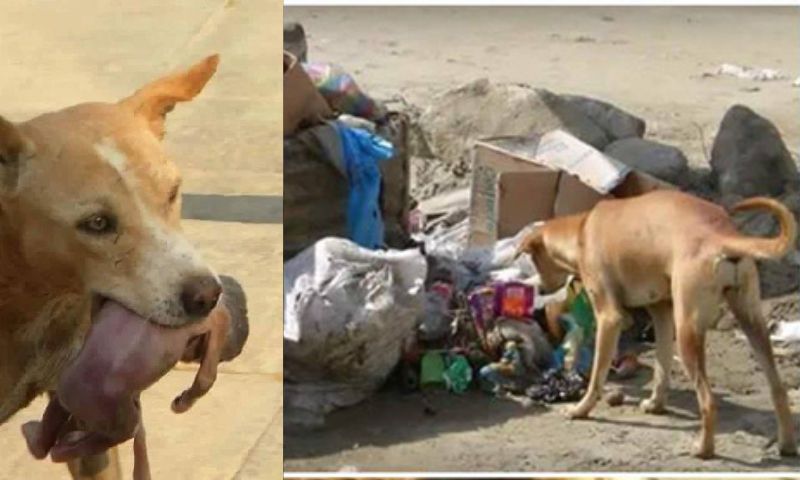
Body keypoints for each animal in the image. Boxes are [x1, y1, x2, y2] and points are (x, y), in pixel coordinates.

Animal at [516, 188, 796, 458]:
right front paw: (656, 404)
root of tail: (721, 234)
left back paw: (704, 449)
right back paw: (787, 445)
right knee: (778, 389)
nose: (542, 289)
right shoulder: (661, 313)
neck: (582, 230)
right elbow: (662, 366)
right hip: (752, 322)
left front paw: (581, 409)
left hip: (688, 333)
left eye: (534, 260)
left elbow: (597, 374)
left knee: (708, 401)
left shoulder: (609, 318)